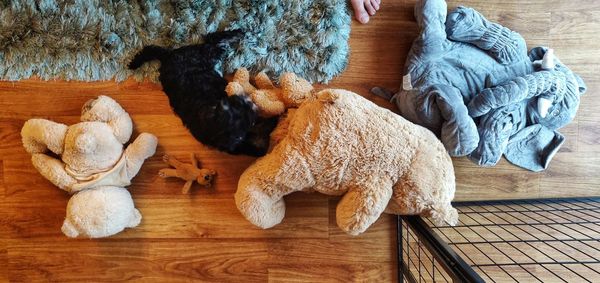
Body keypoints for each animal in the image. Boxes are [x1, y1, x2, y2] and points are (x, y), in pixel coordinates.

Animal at [128, 31, 276, 158]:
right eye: (237, 105)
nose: (246, 100)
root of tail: (168, 56)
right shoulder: (232, 143)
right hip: (207, 53)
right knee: (214, 40)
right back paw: (242, 34)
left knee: (212, 38)